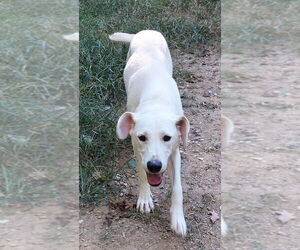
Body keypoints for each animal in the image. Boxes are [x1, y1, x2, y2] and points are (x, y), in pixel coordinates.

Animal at [109, 30, 190, 235]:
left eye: (167, 138)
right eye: (142, 137)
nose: (154, 166)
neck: (156, 101)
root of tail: (145, 31)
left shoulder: (175, 152)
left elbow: (177, 187)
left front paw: (178, 218)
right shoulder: (137, 150)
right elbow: (140, 172)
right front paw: (145, 198)